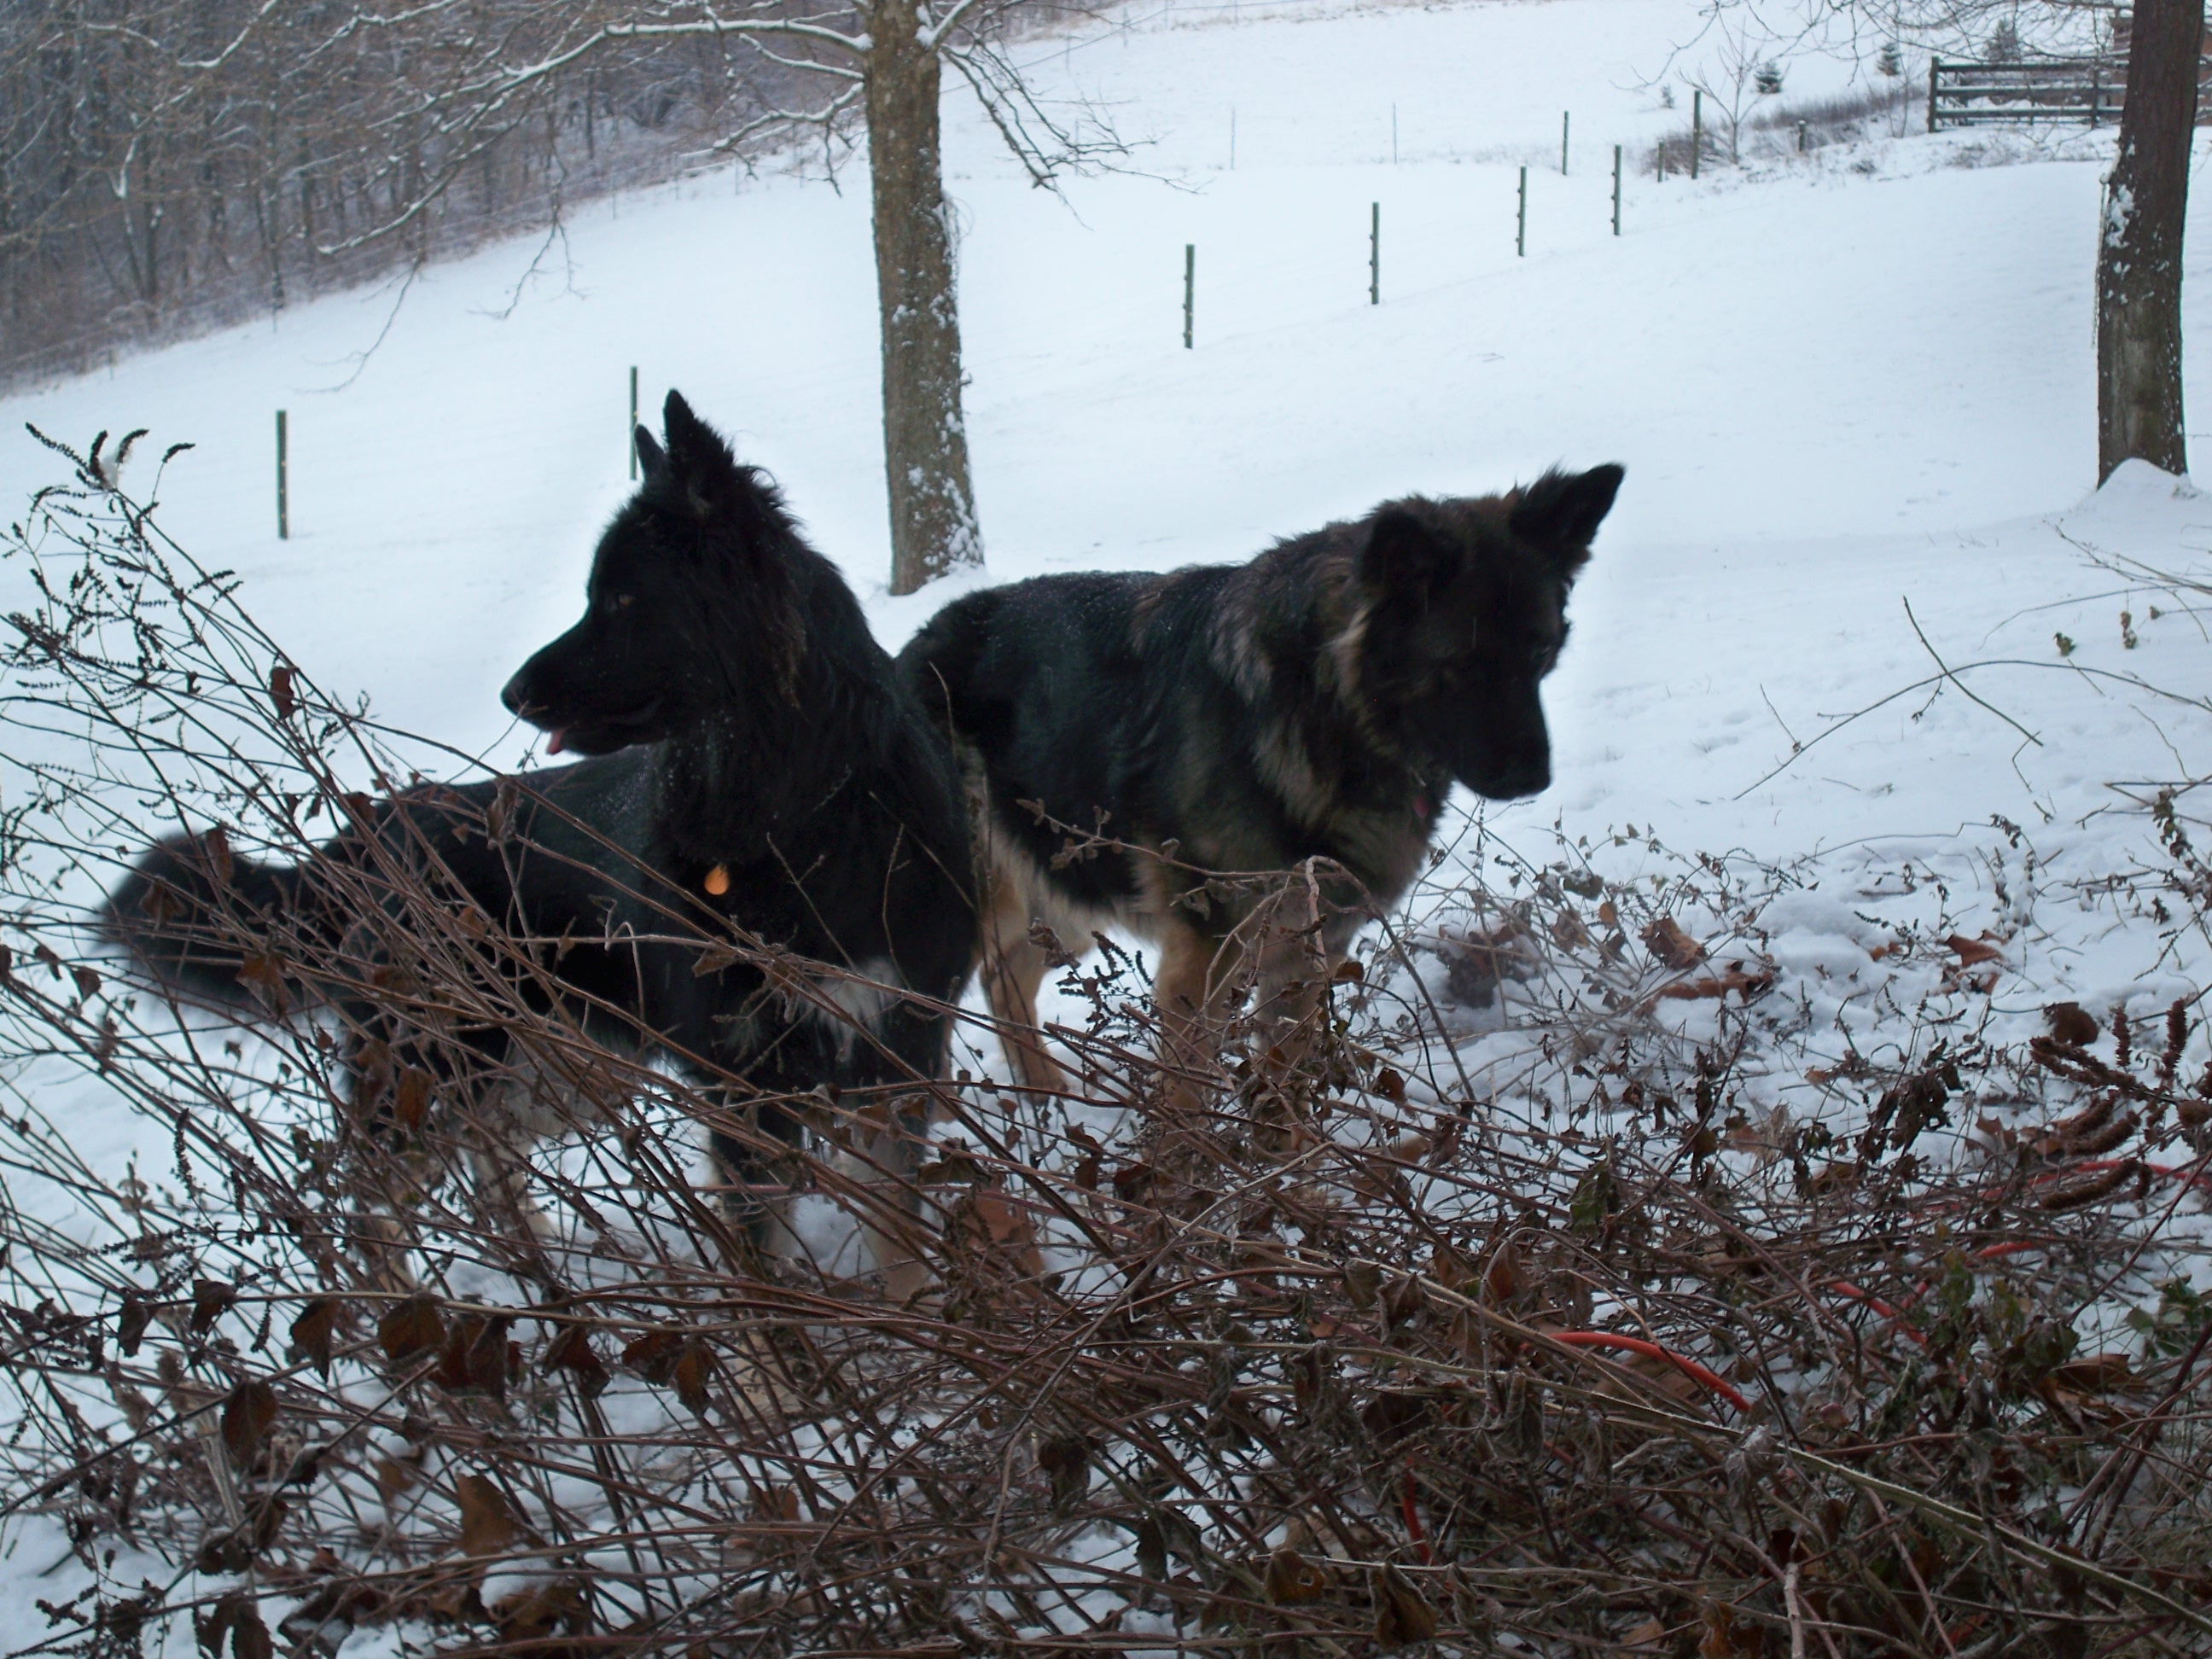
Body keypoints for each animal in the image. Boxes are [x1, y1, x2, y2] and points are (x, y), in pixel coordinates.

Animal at [103, 395, 969, 1291]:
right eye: (596, 595)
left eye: (622, 601)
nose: (511, 694)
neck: (797, 809)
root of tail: (371, 832)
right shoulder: (746, 1088)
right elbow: (764, 1253)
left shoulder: (899, 1054)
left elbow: (899, 1240)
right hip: (437, 1068)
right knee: (372, 1207)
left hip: (554, 1066)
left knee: (486, 1169)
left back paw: (549, 1271)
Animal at [898, 462, 1627, 1097]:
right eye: (1462, 665)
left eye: (1540, 651)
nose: (1534, 778)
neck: (1321, 706)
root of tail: (915, 645)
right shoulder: (1205, 959)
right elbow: (1183, 1101)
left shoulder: (1303, 958)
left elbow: (1287, 1093)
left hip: (1062, 897)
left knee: (1005, 979)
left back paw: (1043, 1096)